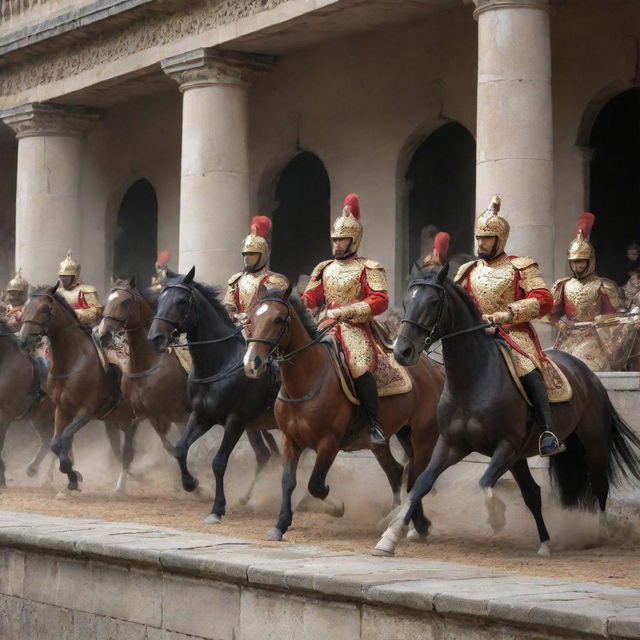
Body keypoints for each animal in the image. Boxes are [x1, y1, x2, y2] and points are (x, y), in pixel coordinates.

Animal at [18, 284, 139, 496]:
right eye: (26, 307)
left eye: (45, 309)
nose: (24, 341)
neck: (72, 362)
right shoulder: (62, 410)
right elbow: (56, 443)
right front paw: (72, 480)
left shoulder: (87, 411)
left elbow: (65, 438)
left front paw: (73, 477)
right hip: (119, 420)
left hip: (131, 420)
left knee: (128, 453)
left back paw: (121, 486)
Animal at [149, 268, 282, 524]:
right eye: (159, 300)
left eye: (181, 301)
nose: (155, 338)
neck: (219, 363)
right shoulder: (202, 416)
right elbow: (180, 448)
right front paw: (192, 484)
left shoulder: (235, 421)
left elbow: (219, 462)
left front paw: (217, 507)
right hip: (256, 427)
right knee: (265, 455)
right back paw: (248, 498)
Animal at [241, 284, 444, 540]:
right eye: (250, 319)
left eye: (278, 319)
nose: (252, 364)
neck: (307, 381)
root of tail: (435, 368)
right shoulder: (290, 440)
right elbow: (288, 481)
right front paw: (280, 524)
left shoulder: (329, 442)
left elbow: (316, 484)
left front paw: (336, 507)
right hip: (396, 436)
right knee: (398, 471)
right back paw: (399, 519)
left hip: (423, 435)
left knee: (418, 476)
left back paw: (417, 524)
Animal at [372, 260, 640, 556]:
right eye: (406, 301)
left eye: (433, 302)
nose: (402, 351)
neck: (472, 381)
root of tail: (587, 372)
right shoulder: (453, 444)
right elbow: (422, 483)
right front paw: (391, 535)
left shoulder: (506, 445)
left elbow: (484, 483)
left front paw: (496, 517)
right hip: (522, 457)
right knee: (533, 493)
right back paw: (545, 542)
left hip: (592, 445)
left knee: (600, 486)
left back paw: (600, 532)